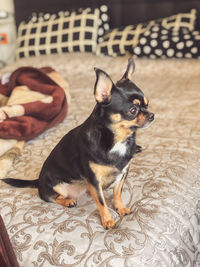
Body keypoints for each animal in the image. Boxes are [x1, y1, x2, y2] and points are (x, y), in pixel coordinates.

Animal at [2, 58, 153, 230]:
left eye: (147, 104)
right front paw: (107, 220)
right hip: (57, 187)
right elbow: (101, 202)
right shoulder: (94, 180)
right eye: (133, 110)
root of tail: (38, 181)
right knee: (52, 197)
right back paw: (67, 201)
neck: (118, 140)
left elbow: (117, 193)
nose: (152, 115)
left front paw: (120, 208)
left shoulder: (122, 173)